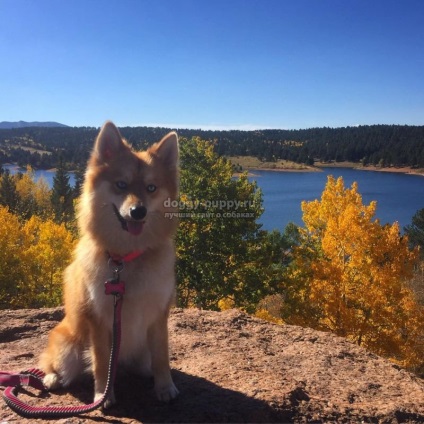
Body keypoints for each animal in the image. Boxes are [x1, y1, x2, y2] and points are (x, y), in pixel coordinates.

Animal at [38, 121, 179, 406]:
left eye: (151, 188)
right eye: (121, 185)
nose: (138, 211)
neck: (125, 258)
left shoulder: (159, 315)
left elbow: (162, 356)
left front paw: (164, 387)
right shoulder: (99, 319)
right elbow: (102, 361)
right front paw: (103, 394)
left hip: (140, 356)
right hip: (69, 346)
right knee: (53, 364)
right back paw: (51, 378)